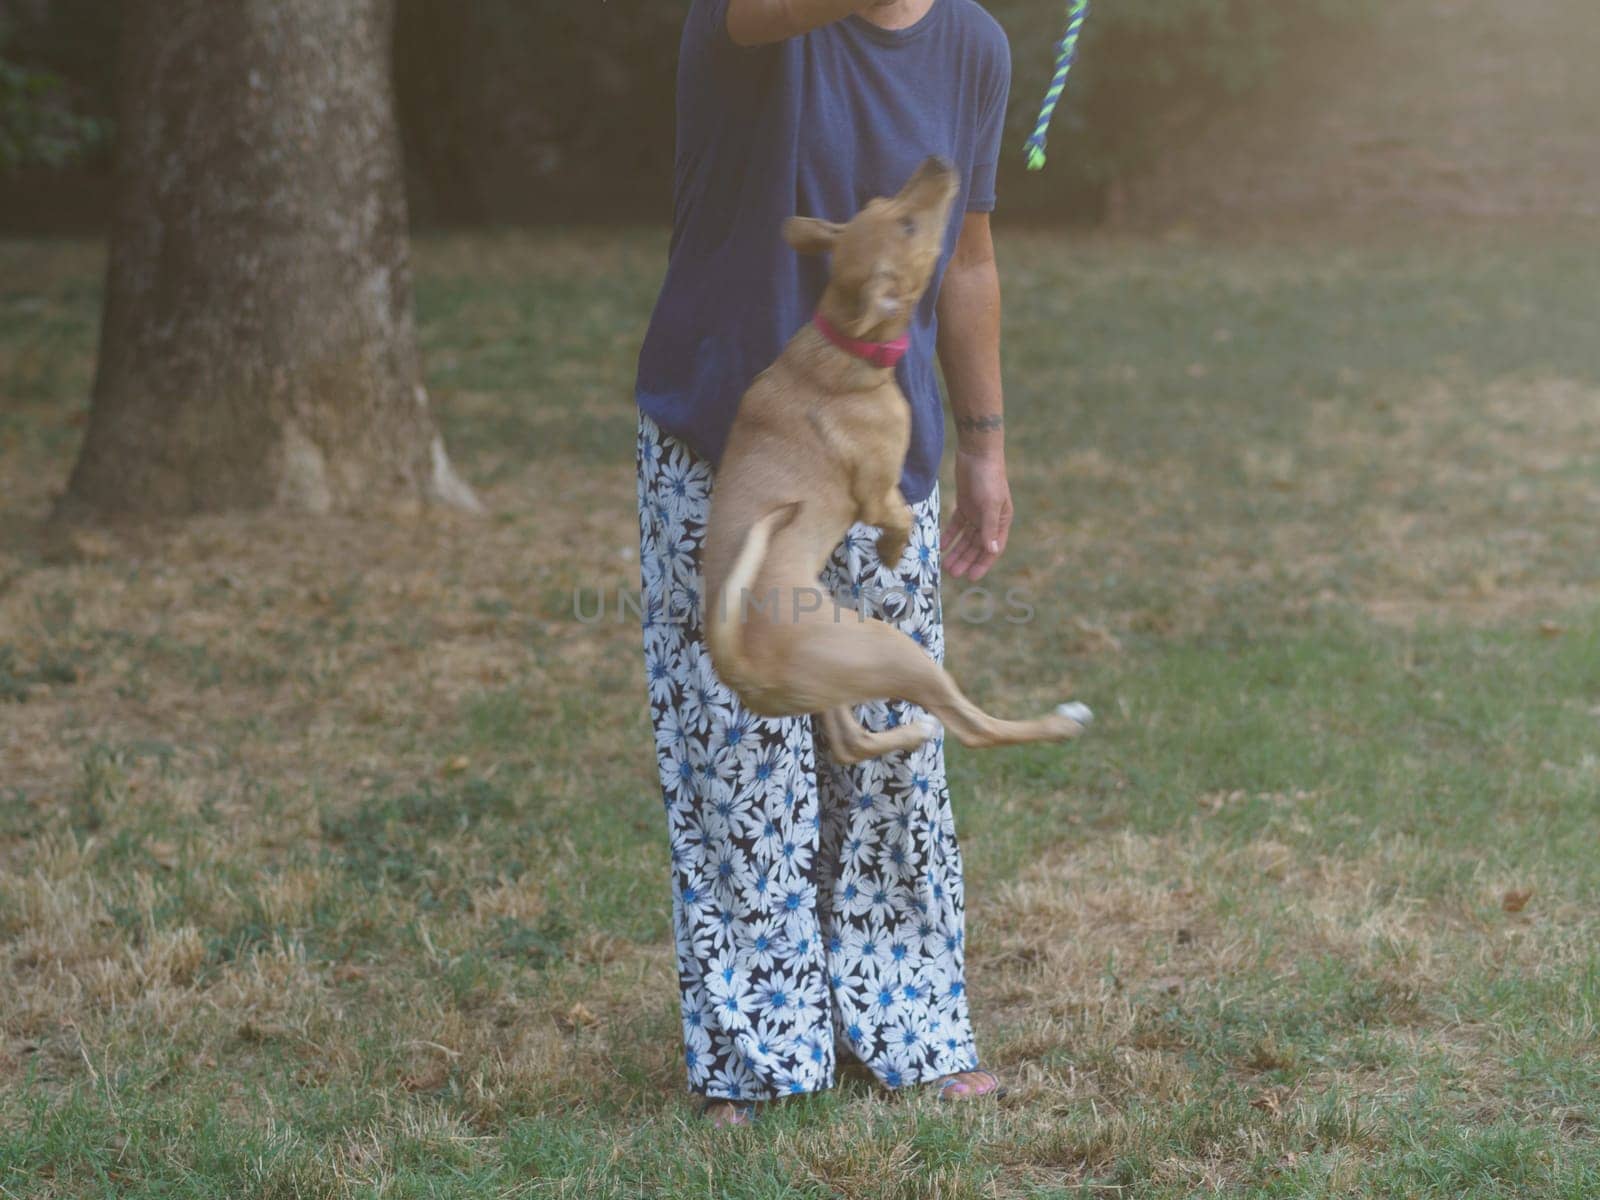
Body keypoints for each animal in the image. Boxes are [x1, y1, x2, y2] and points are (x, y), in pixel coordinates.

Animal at [704, 155, 1088, 764]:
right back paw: (1061, 721)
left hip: (832, 679)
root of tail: (738, 661)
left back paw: (910, 734)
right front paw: (890, 549)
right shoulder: (876, 491)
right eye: (907, 226)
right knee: (974, 727)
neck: (843, 342)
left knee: (850, 741)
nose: (940, 163)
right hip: (890, 648)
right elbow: (898, 515)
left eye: (881, 202)